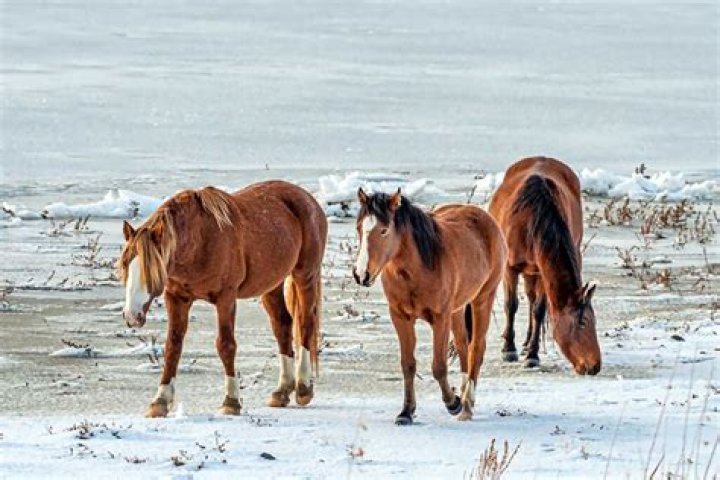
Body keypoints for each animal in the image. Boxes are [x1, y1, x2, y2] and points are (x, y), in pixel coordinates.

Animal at [117, 181, 327, 417]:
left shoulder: (226, 298)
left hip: (305, 275)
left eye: (152, 272)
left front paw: (231, 401)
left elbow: (226, 345)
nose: (132, 316)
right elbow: (172, 346)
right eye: (125, 265)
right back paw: (281, 391)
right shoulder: (176, 298)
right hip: (271, 285)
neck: (200, 240)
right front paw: (159, 401)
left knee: (305, 323)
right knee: (283, 325)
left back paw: (303, 389)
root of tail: (308, 199)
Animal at [352, 188, 506, 423]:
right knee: (462, 346)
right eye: (359, 228)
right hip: (457, 310)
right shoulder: (400, 317)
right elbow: (408, 364)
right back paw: (464, 398)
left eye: (384, 230)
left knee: (476, 349)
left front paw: (453, 403)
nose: (361, 274)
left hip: (482, 299)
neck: (417, 269)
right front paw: (406, 412)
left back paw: (466, 405)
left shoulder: (440, 318)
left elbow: (439, 366)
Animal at [488, 156, 601, 375]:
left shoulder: (541, 270)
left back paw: (527, 344)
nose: (595, 366)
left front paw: (532, 354)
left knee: (532, 300)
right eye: (583, 322)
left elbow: (539, 310)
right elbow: (511, 305)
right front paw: (508, 349)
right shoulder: (509, 268)